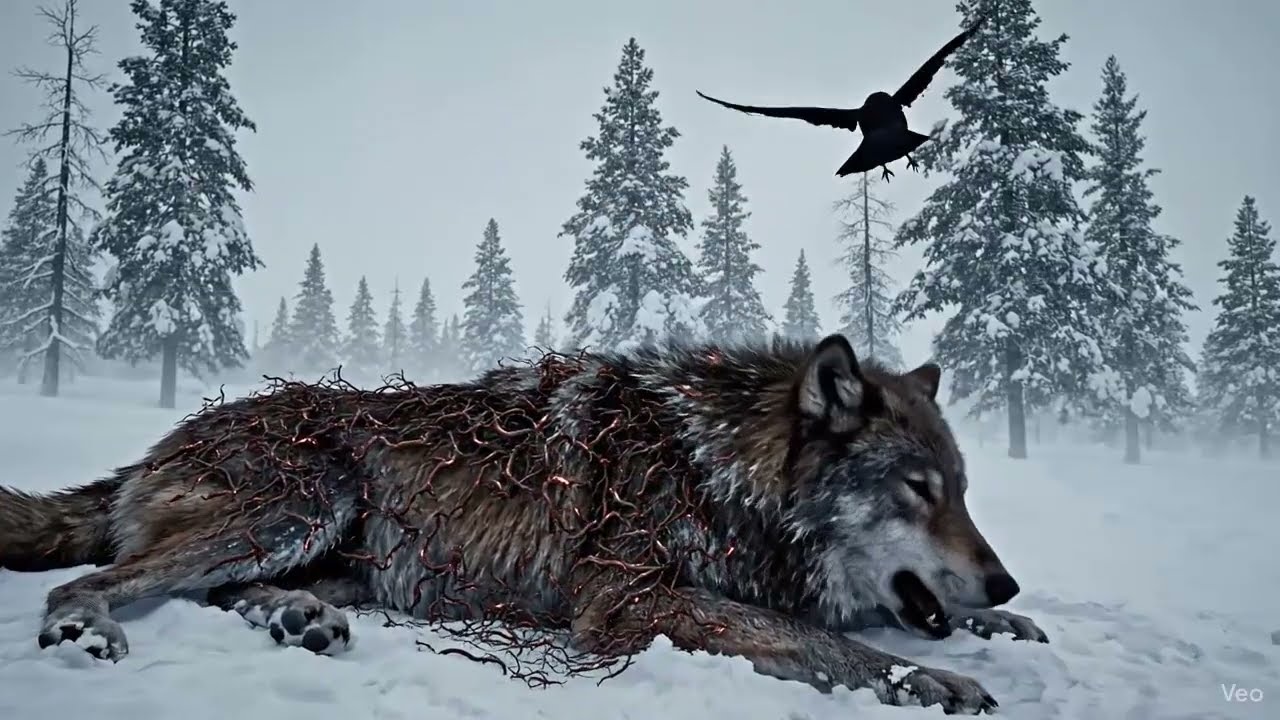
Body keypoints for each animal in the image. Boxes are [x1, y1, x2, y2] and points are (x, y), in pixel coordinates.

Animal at [0, 334, 1046, 714]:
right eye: (917, 489)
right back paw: (83, 626)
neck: (720, 470)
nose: (1003, 577)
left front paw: (1008, 622)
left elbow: (856, 620)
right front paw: (937, 680)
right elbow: (821, 639)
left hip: (342, 552)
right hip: (301, 502)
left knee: (233, 595)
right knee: (96, 579)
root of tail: (155, 445)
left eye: (961, 489)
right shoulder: (628, 601)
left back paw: (304, 622)